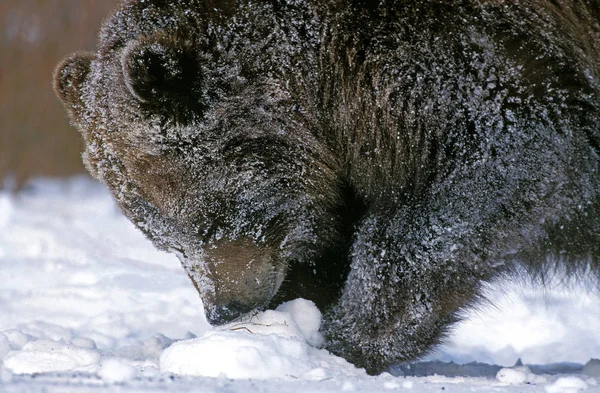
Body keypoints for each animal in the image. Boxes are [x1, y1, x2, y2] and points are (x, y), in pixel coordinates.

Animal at [54, 0, 596, 374]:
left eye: (210, 216)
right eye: (163, 239)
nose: (224, 308)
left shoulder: (474, 68)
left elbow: (482, 180)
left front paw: (345, 338)